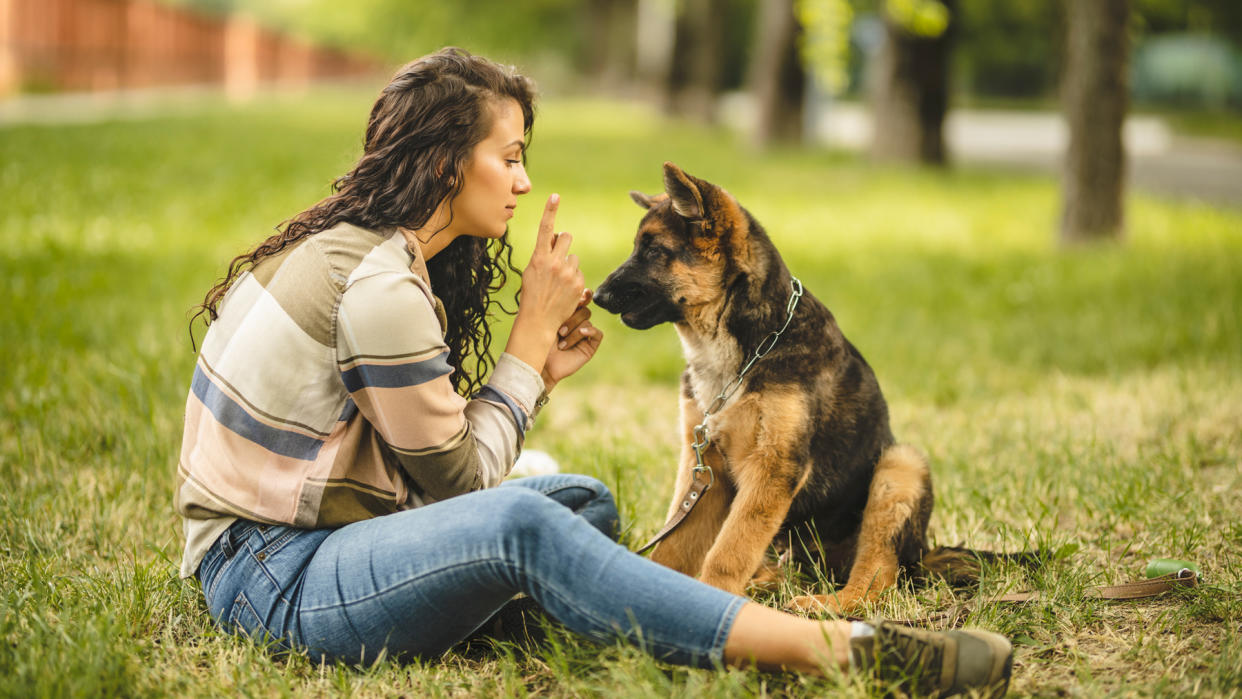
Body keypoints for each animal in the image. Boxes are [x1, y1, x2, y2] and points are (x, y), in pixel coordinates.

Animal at [591, 163, 938, 613]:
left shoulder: (772, 468)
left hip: (899, 467)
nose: (596, 296)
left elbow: (728, 550)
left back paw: (825, 604)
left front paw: (713, 598)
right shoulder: (703, 466)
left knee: (877, 575)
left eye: (654, 251)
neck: (735, 352)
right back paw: (764, 587)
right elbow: (673, 547)